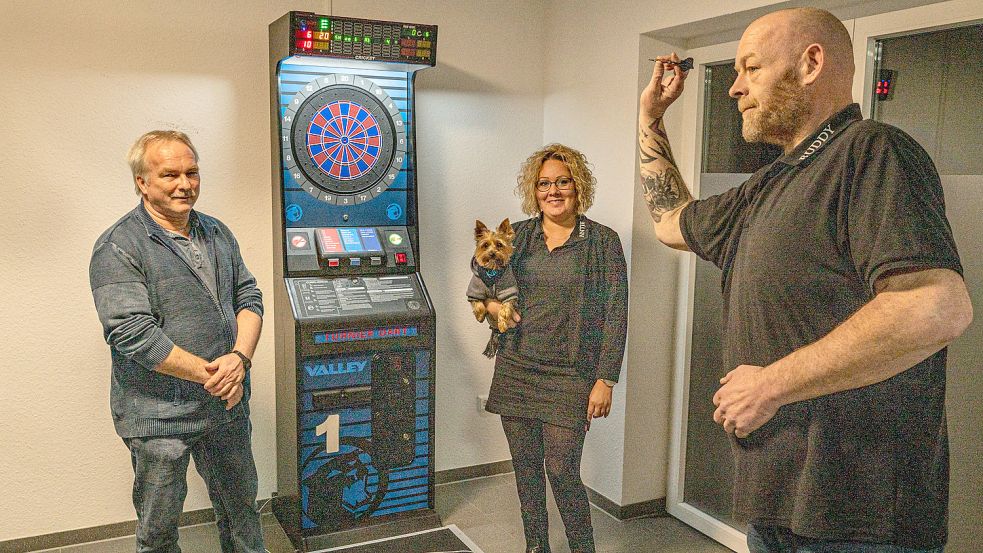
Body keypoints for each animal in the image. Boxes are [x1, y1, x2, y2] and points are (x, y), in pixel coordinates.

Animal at [468, 218, 524, 356]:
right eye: (485, 245)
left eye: (499, 245)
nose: (492, 253)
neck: (492, 271)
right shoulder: (474, 291)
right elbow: (479, 305)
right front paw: (480, 317)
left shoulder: (509, 292)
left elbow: (504, 309)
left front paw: (503, 325)